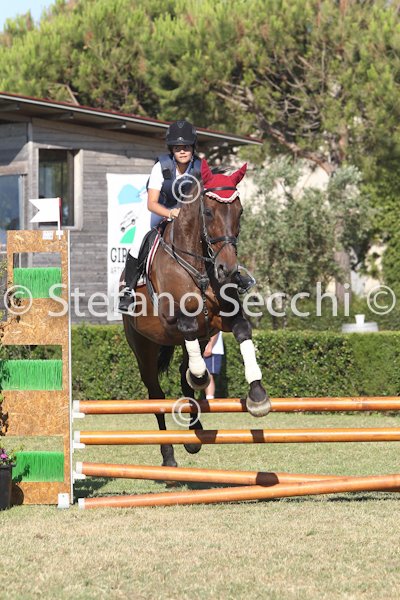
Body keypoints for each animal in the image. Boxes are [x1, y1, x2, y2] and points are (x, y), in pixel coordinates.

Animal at [122, 159, 270, 467]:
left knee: (183, 373)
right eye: (208, 211)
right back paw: (169, 456)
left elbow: (243, 331)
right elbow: (187, 326)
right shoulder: (172, 319)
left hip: (202, 341)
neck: (200, 266)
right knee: (156, 394)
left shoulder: (220, 320)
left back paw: (194, 434)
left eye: (240, 211)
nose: (227, 269)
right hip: (143, 346)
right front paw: (202, 377)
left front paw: (258, 395)